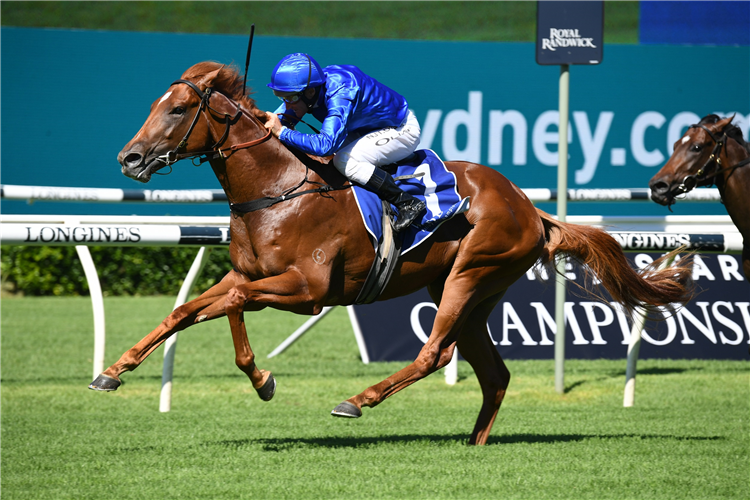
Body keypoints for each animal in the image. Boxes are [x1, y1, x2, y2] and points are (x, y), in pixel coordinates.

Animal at [91, 63, 696, 446]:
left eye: (178, 110)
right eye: (157, 105)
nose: (129, 157)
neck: (277, 189)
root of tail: (529, 207)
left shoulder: (307, 291)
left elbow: (232, 304)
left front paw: (262, 380)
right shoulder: (249, 273)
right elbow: (191, 309)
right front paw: (114, 372)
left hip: (470, 275)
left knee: (435, 354)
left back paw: (358, 400)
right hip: (468, 291)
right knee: (494, 373)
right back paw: (473, 444)